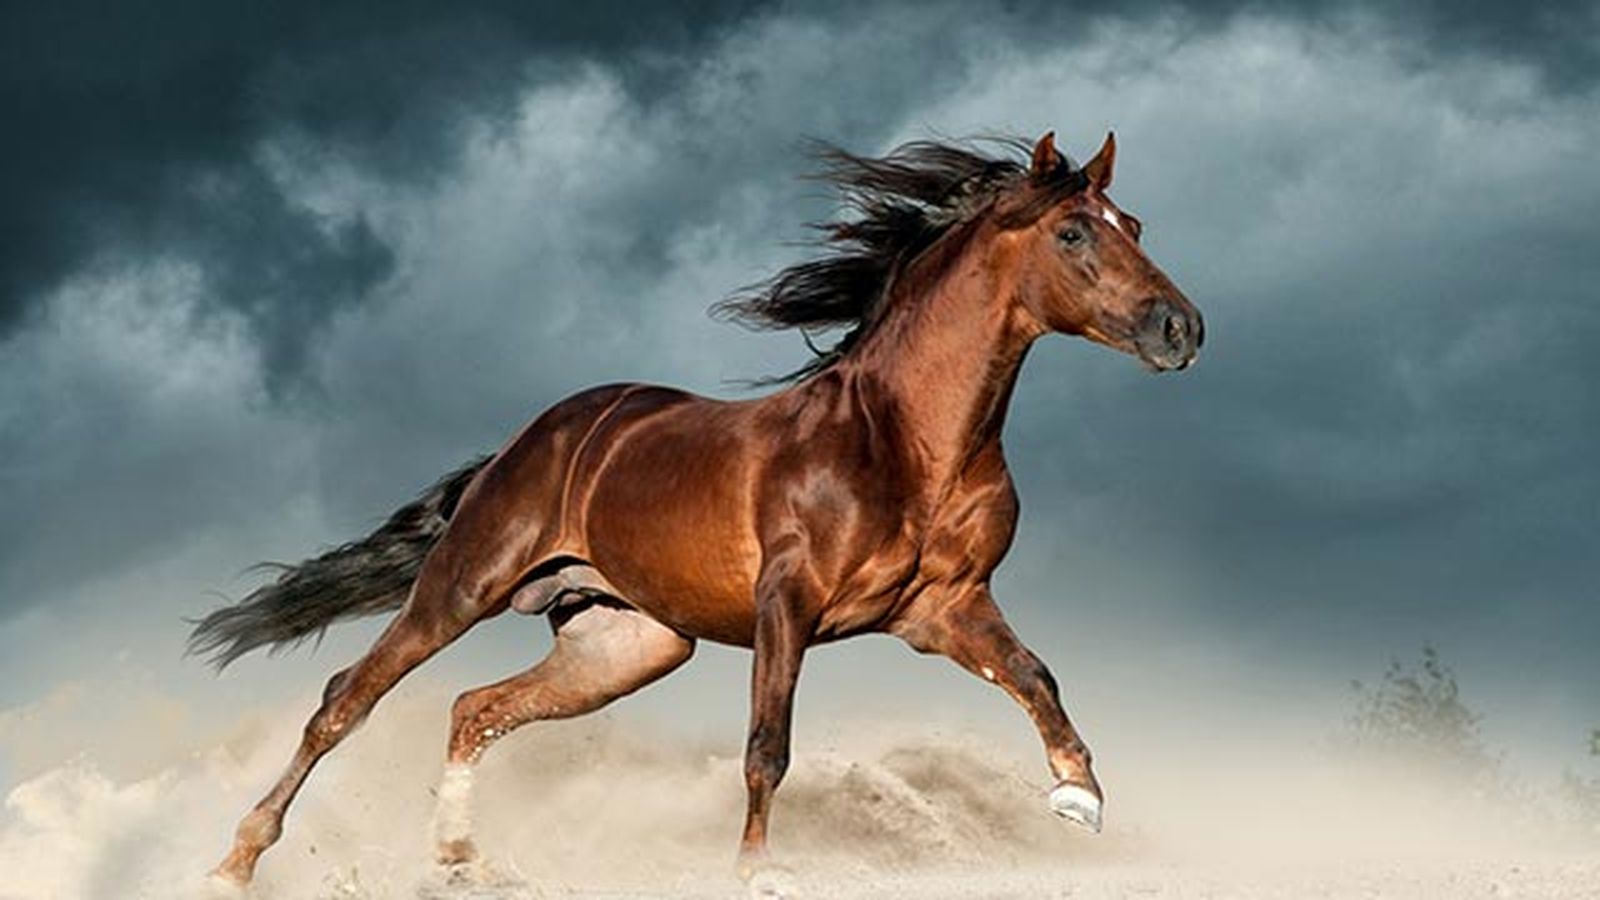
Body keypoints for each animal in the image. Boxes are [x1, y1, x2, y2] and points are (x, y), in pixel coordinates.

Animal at [191, 130, 1203, 890]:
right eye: (1074, 234)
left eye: (1135, 223)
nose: (1181, 330)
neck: (904, 441)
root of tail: (537, 437)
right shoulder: (786, 605)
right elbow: (767, 747)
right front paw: (755, 872)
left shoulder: (944, 609)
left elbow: (1036, 678)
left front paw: (1080, 799)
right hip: (465, 585)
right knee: (344, 701)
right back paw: (235, 860)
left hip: (625, 644)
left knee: (475, 710)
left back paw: (457, 860)